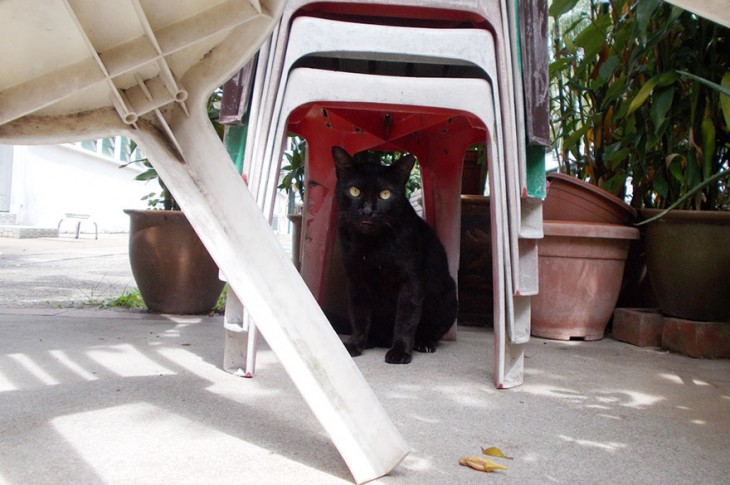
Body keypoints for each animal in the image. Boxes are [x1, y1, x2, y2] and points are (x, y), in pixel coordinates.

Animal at [332, 147, 456, 364]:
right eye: (354, 191)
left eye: (385, 194)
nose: (367, 210)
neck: (372, 245)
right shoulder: (356, 281)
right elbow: (359, 316)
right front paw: (355, 345)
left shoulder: (410, 281)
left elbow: (406, 319)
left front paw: (400, 351)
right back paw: (371, 341)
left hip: (448, 294)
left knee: (433, 331)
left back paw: (423, 343)